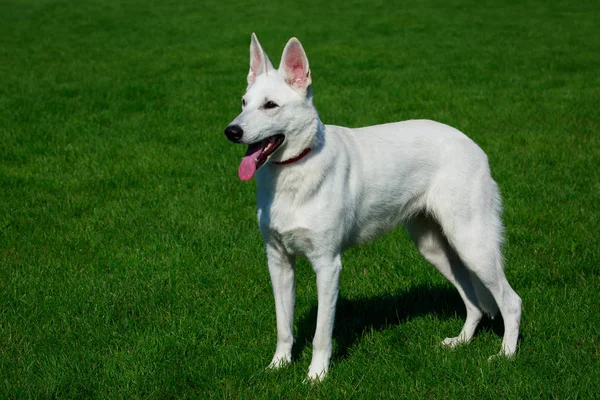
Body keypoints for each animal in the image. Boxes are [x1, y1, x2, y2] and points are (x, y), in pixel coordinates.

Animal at [224, 33, 520, 382]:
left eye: (270, 105)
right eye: (244, 103)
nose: (231, 131)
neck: (295, 168)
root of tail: (474, 146)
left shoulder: (328, 265)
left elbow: (322, 332)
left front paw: (316, 376)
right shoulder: (278, 260)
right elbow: (284, 326)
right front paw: (278, 366)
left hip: (473, 244)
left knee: (511, 302)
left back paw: (506, 355)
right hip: (435, 248)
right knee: (473, 302)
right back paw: (460, 342)